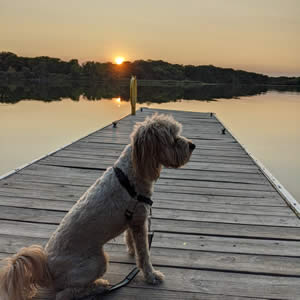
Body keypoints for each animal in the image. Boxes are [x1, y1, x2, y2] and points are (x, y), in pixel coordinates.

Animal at [0, 113, 195, 300]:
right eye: (173, 138)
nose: (192, 145)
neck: (131, 172)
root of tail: (46, 271)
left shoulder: (133, 221)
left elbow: (131, 240)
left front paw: (132, 252)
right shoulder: (140, 221)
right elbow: (144, 255)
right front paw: (151, 276)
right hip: (97, 262)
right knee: (65, 294)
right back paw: (99, 286)